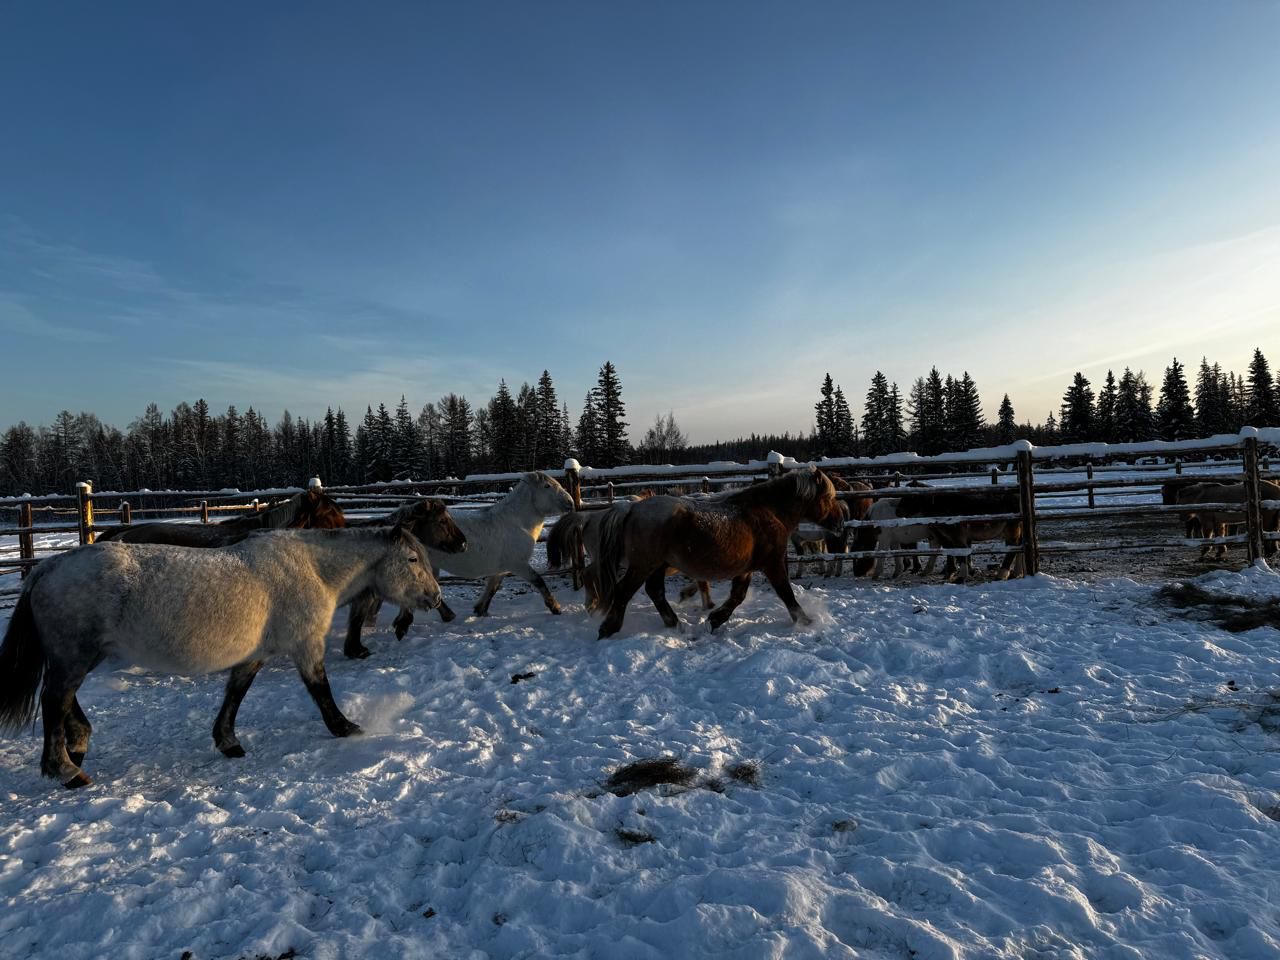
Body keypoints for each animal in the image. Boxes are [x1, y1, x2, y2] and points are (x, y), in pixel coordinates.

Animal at [0, 527, 440, 788]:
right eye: (413, 559)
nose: (435, 598)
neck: (313, 569)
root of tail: (48, 567)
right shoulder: (305, 645)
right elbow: (321, 690)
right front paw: (346, 728)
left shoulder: (255, 654)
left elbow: (235, 694)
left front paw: (228, 742)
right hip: (75, 654)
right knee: (53, 700)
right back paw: (65, 770)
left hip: (79, 656)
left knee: (61, 698)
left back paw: (78, 742)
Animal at [591, 468, 839, 640]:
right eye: (828, 498)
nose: (838, 522)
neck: (770, 512)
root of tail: (632, 508)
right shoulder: (773, 564)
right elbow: (786, 594)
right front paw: (807, 621)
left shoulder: (747, 569)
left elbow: (738, 596)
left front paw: (715, 619)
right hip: (644, 564)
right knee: (624, 591)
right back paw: (608, 629)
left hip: (657, 565)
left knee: (655, 591)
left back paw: (675, 624)